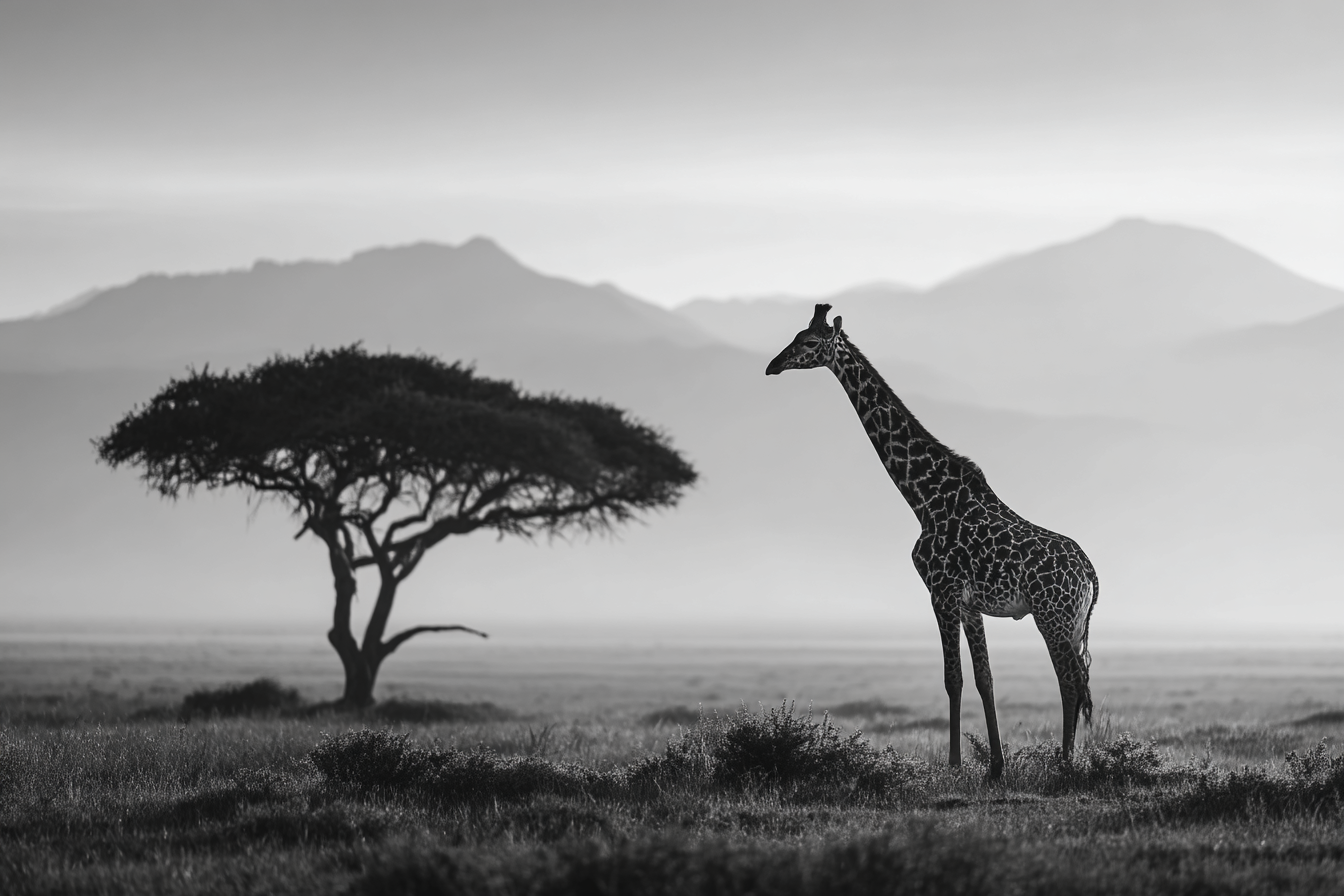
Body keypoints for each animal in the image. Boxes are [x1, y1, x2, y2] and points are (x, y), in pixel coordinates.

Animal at [766, 303, 1098, 780]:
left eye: (809, 342)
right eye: (794, 336)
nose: (773, 365)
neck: (924, 498)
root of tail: (1090, 572)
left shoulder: (940, 591)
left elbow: (952, 678)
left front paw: (955, 765)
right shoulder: (968, 603)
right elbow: (984, 678)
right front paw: (995, 767)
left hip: (1051, 615)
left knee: (1070, 681)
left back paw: (1066, 764)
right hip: (1071, 621)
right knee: (1080, 680)